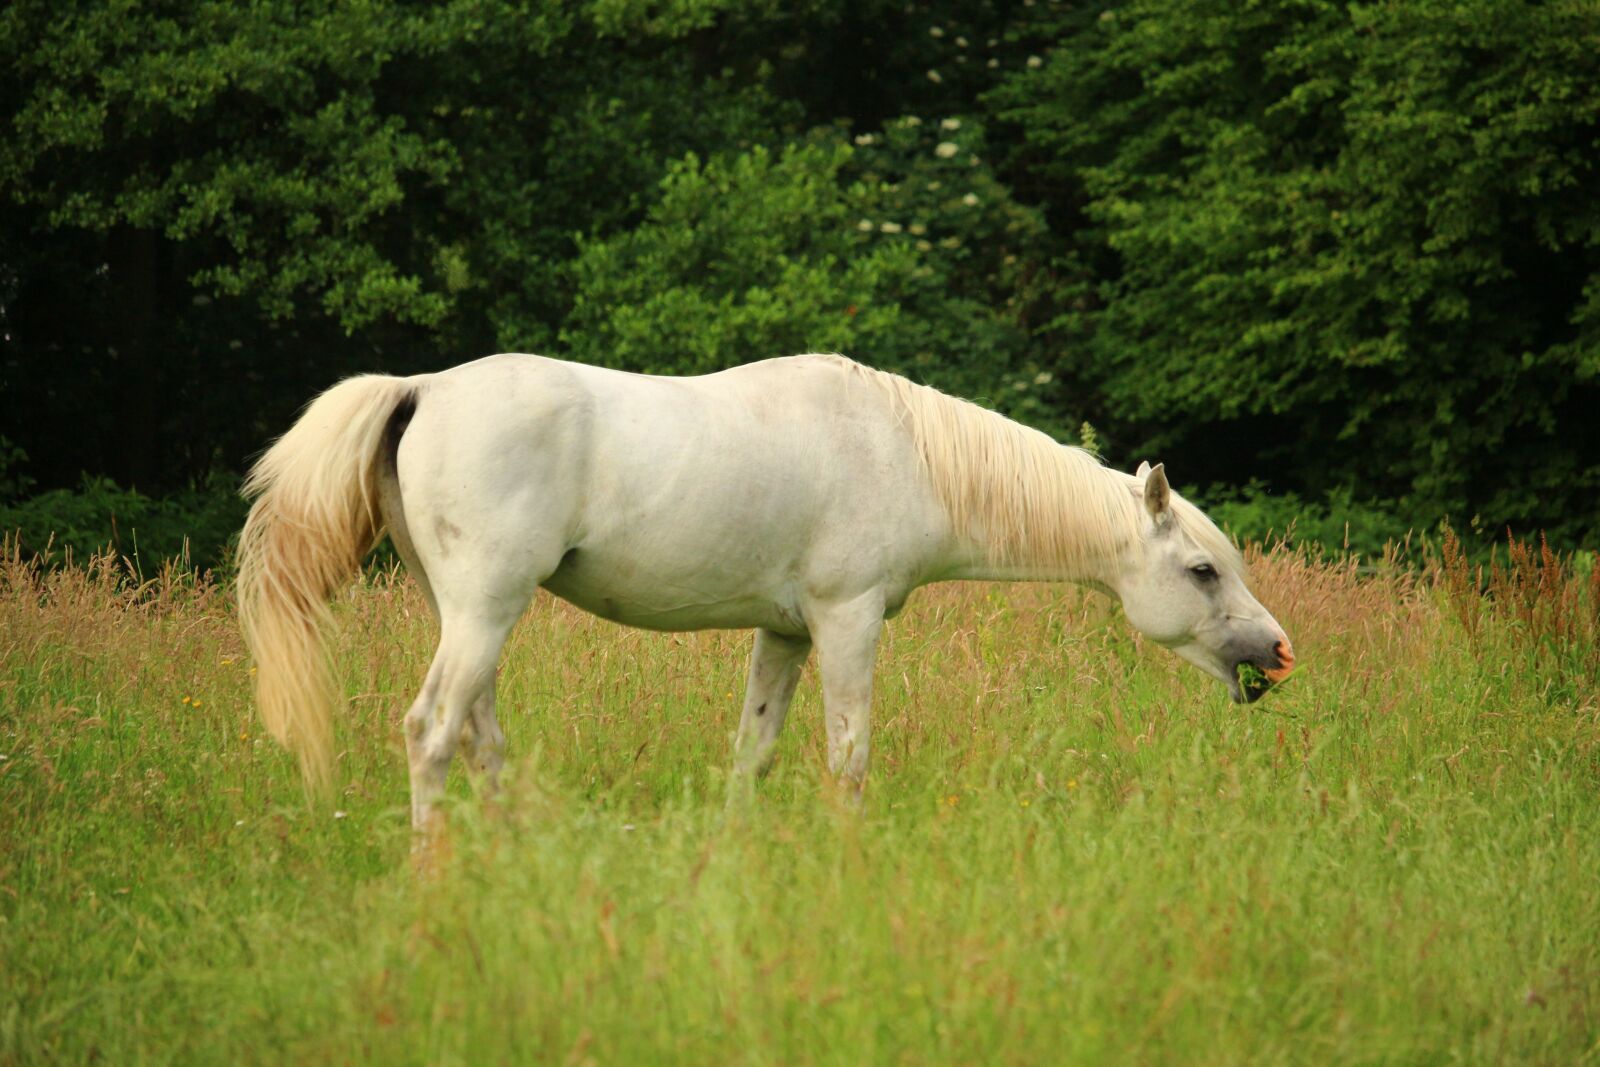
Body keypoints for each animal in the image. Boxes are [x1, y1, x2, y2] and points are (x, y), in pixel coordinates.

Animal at [237, 353, 1295, 830]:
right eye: (1203, 570)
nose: (1278, 654)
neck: (905, 451)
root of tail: (420, 387)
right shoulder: (846, 620)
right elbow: (847, 754)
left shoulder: (781, 634)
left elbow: (755, 751)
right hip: (485, 609)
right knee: (431, 731)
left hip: (468, 613)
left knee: (477, 734)